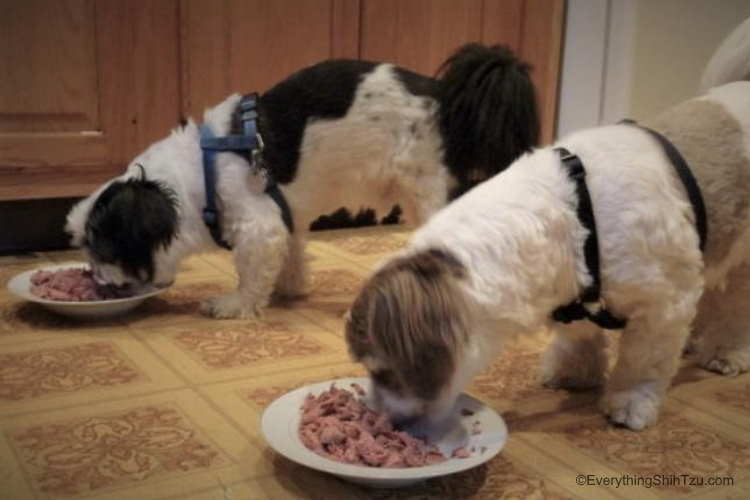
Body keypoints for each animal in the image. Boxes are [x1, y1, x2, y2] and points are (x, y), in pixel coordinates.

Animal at [64, 45, 540, 318]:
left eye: (104, 250)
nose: (97, 280)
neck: (203, 169)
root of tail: (446, 98)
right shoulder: (283, 215)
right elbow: (290, 254)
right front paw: (288, 288)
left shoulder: (257, 224)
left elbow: (251, 271)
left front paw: (236, 305)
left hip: (432, 193)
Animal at [346, 42, 750, 430]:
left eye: (385, 372)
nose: (381, 417)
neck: (574, 215)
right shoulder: (574, 296)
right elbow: (580, 337)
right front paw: (574, 372)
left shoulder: (664, 305)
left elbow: (644, 363)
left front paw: (630, 402)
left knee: (733, 309)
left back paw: (724, 352)